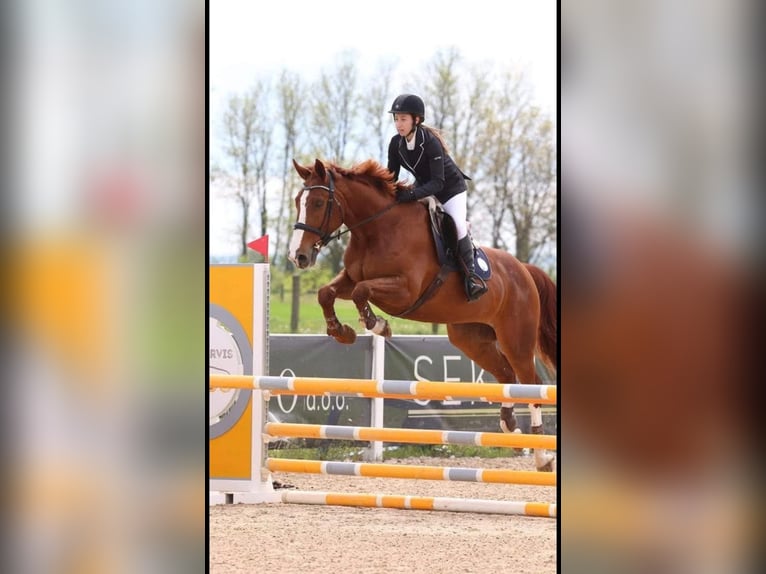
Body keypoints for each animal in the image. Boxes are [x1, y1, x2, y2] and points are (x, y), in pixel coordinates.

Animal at [288, 158, 558, 472]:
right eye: (298, 201)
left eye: (319, 203)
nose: (298, 256)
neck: (376, 230)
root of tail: (524, 269)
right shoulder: (351, 278)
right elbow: (326, 293)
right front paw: (341, 332)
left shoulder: (405, 289)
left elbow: (362, 292)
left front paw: (378, 325)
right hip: (471, 339)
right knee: (507, 376)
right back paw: (510, 427)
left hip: (516, 338)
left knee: (530, 383)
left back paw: (541, 456)